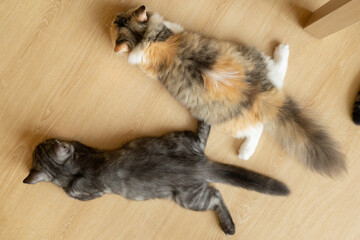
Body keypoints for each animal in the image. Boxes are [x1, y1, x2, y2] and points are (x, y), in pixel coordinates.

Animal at [22, 120, 288, 234]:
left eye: (45, 143)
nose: (41, 139)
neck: (72, 168)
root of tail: (199, 165)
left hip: (189, 199)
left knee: (216, 195)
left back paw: (229, 227)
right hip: (181, 141)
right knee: (203, 137)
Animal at [110, 5, 346, 177]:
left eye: (115, 20)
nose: (112, 17)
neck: (147, 37)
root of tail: (260, 96)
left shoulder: (167, 33)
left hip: (230, 124)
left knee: (257, 130)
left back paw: (245, 152)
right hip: (261, 62)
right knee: (279, 70)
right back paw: (283, 50)